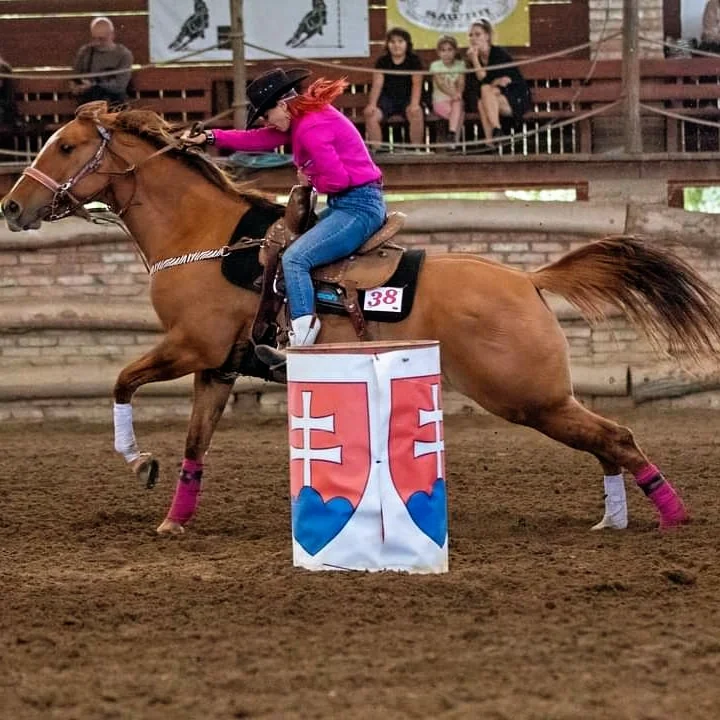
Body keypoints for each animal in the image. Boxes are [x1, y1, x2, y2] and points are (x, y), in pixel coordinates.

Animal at [4, 104, 720, 536]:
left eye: (66, 146)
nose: (12, 207)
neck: (208, 239)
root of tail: (527, 280)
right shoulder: (217, 368)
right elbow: (193, 446)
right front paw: (174, 517)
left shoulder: (188, 347)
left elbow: (122, 382)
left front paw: (137, 461)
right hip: (538, 399)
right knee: (605, 440)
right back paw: (616, 518)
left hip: (527, 396)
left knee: (616, 436)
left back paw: (670, 514)